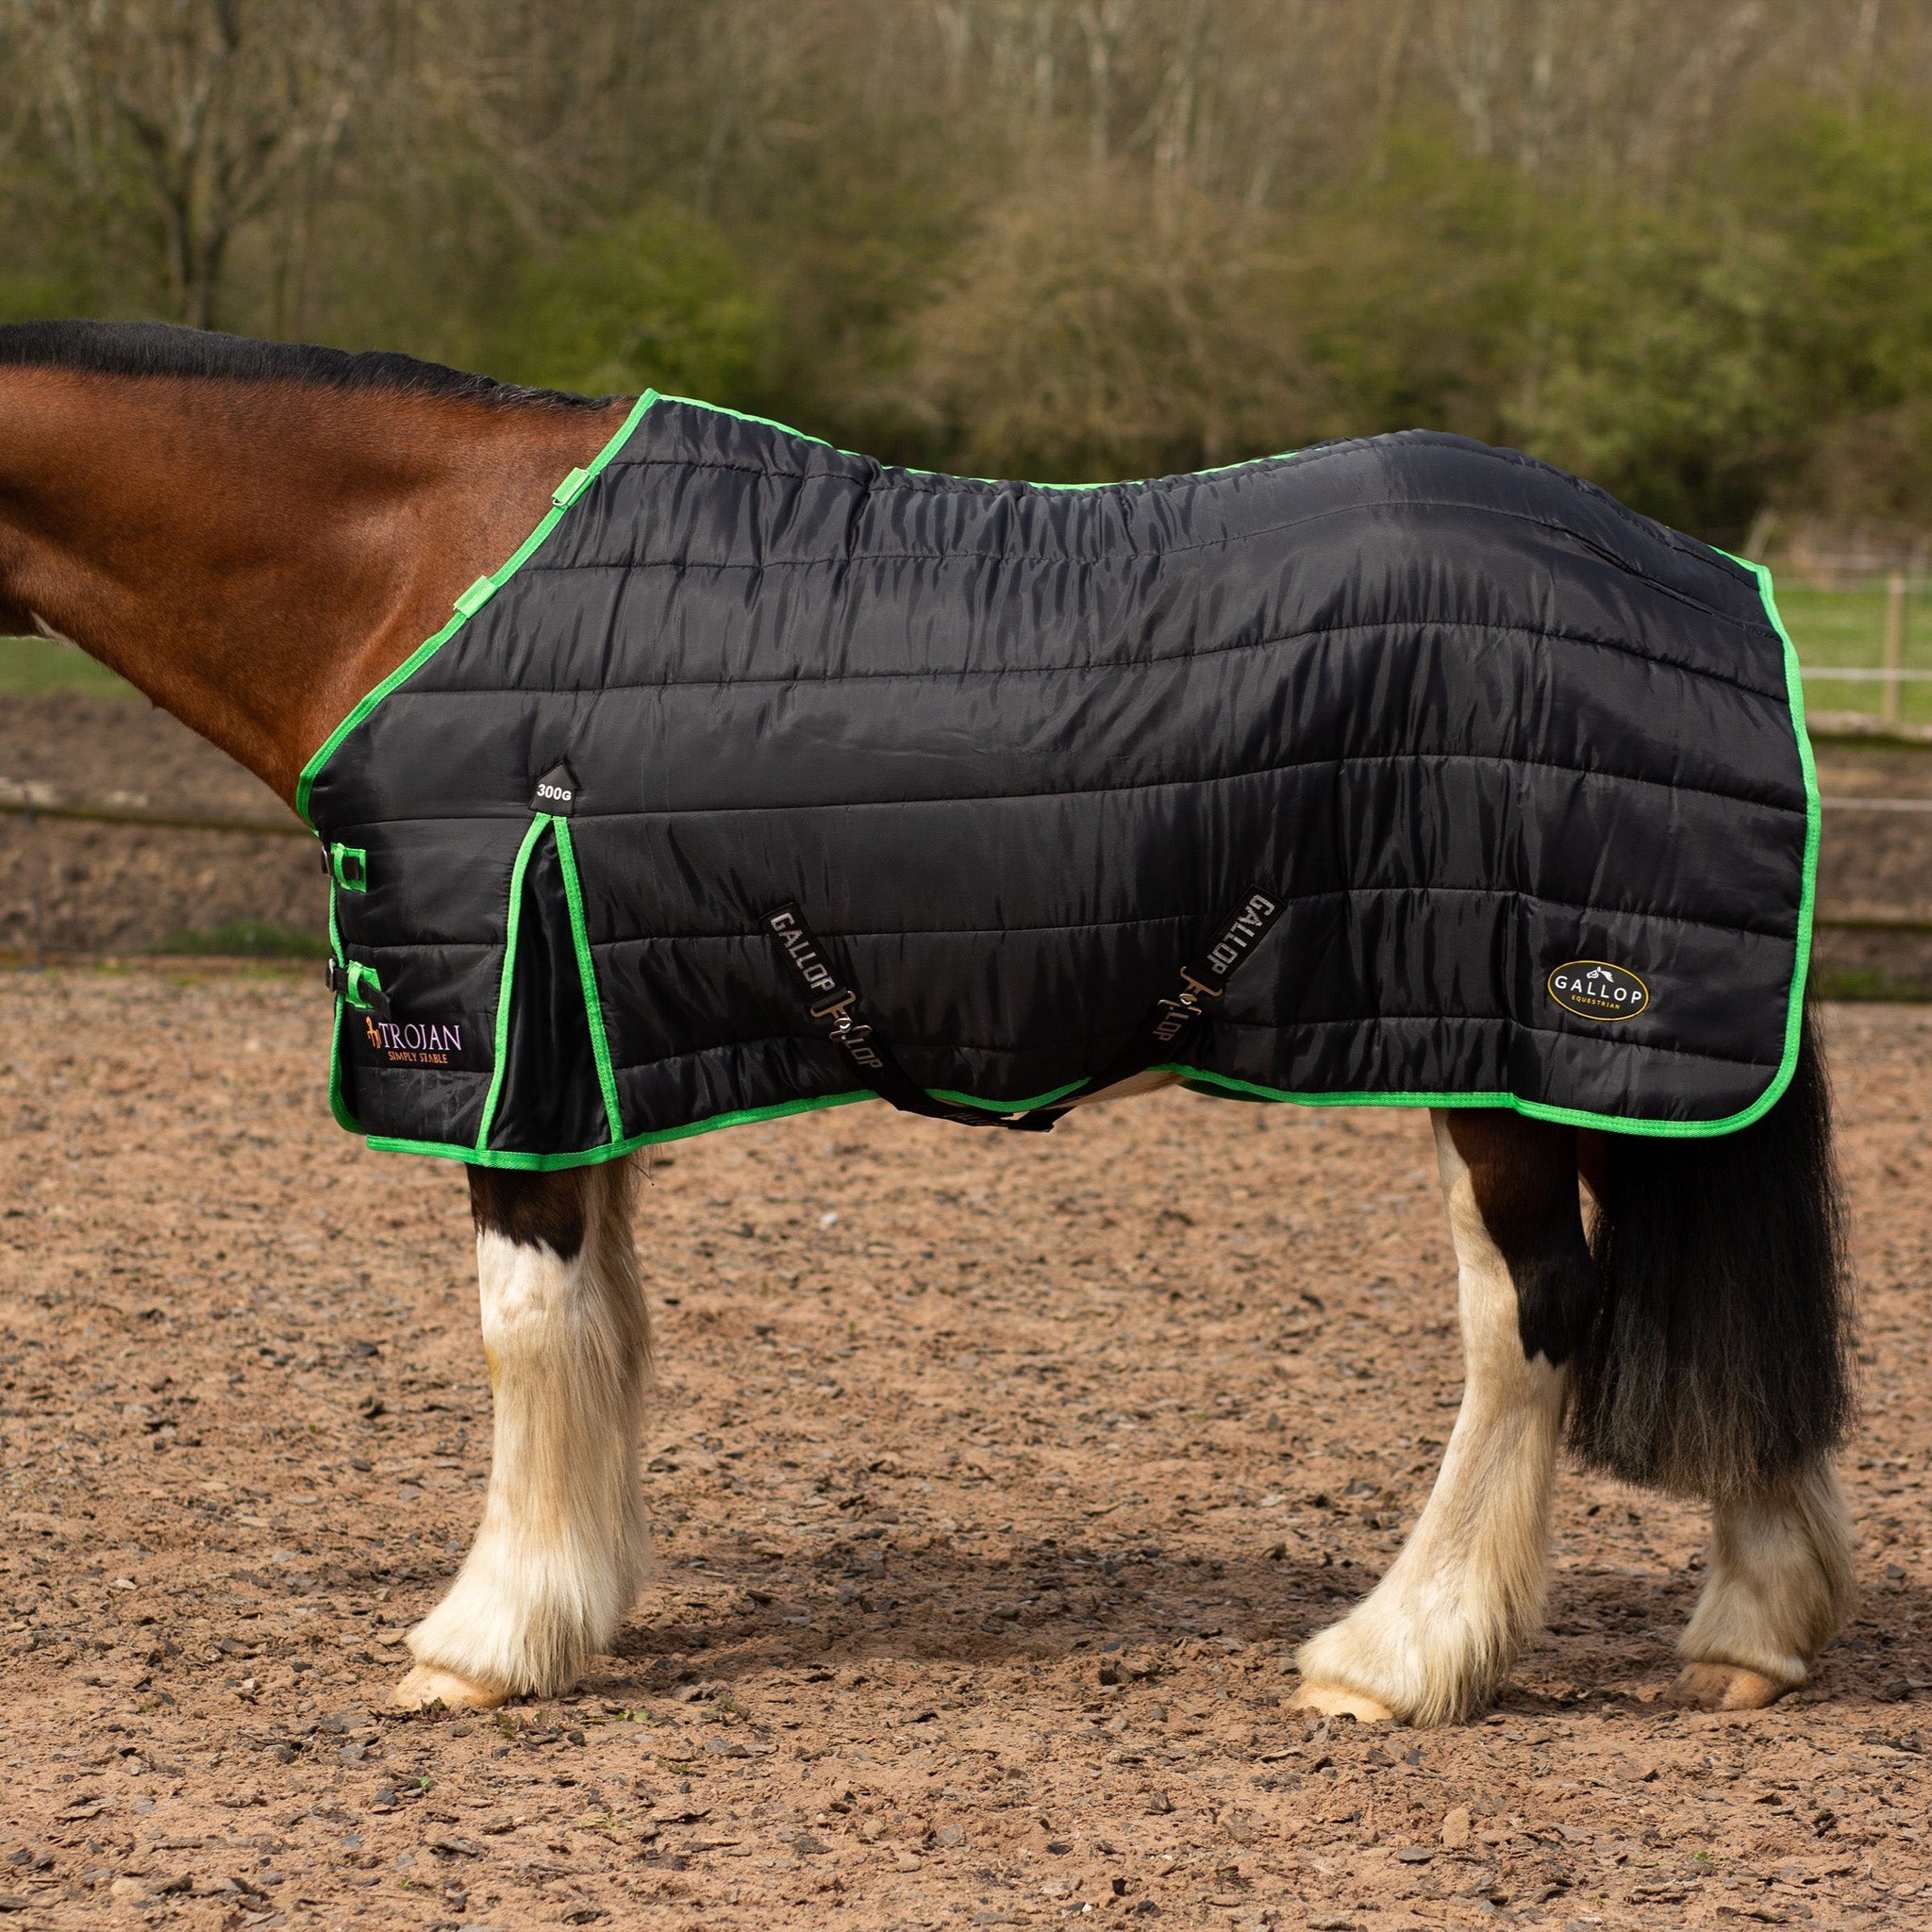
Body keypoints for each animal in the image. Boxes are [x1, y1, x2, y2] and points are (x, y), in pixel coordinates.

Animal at [0, 319, 1855, 1726]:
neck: (413, 568)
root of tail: (1709, 594)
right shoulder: (593, 1045)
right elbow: (611, 1332)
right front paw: (579, 1600)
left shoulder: (501, 1045)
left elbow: (526, 1329)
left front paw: (488, 1640)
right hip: (1609, 1067)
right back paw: (1755, 1631)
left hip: (1506, 1056)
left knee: (1531, 1318)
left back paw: (1393, 1659)